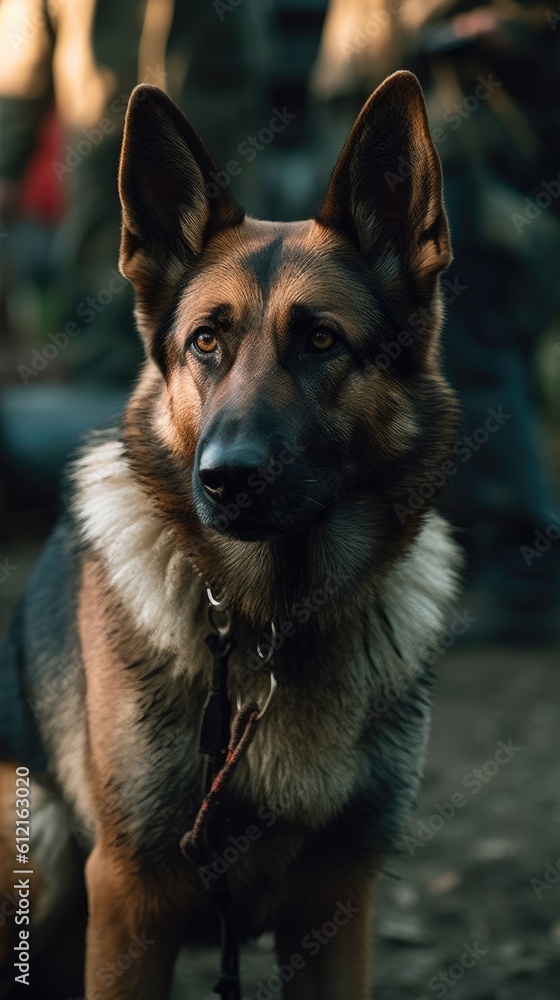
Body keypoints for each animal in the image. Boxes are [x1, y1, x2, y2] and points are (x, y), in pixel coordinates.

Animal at [0, 72, 460, 1000]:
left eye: (320, 340)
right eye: (206, 341)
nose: (225, 478)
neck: (275, 620)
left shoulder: (336, 902)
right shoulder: (130, 895)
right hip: (42, 845)